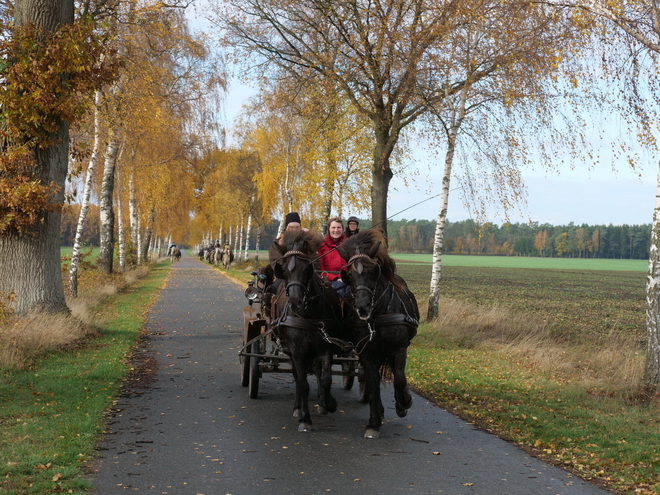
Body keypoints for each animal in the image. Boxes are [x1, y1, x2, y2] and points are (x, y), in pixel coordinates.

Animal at [270, 231, 350, 432]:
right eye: (284, 269)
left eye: (307, 268)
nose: (296, 301)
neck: (307, 316)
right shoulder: (296, 351)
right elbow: (303, 384)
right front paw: (304, 419)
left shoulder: (326, 346)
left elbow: (327, 378)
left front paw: (329, 403)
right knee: (297, 378)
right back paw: (298, 407)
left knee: (317, 372)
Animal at [338, 229, 420, 438]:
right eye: (348, 275)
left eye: (374, 272)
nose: (362, 307)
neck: (377, 316)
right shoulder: (366, 353)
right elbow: (374, 385)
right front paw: (374, 422)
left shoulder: (399, 349)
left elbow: (399, 380)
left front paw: (404, 403)